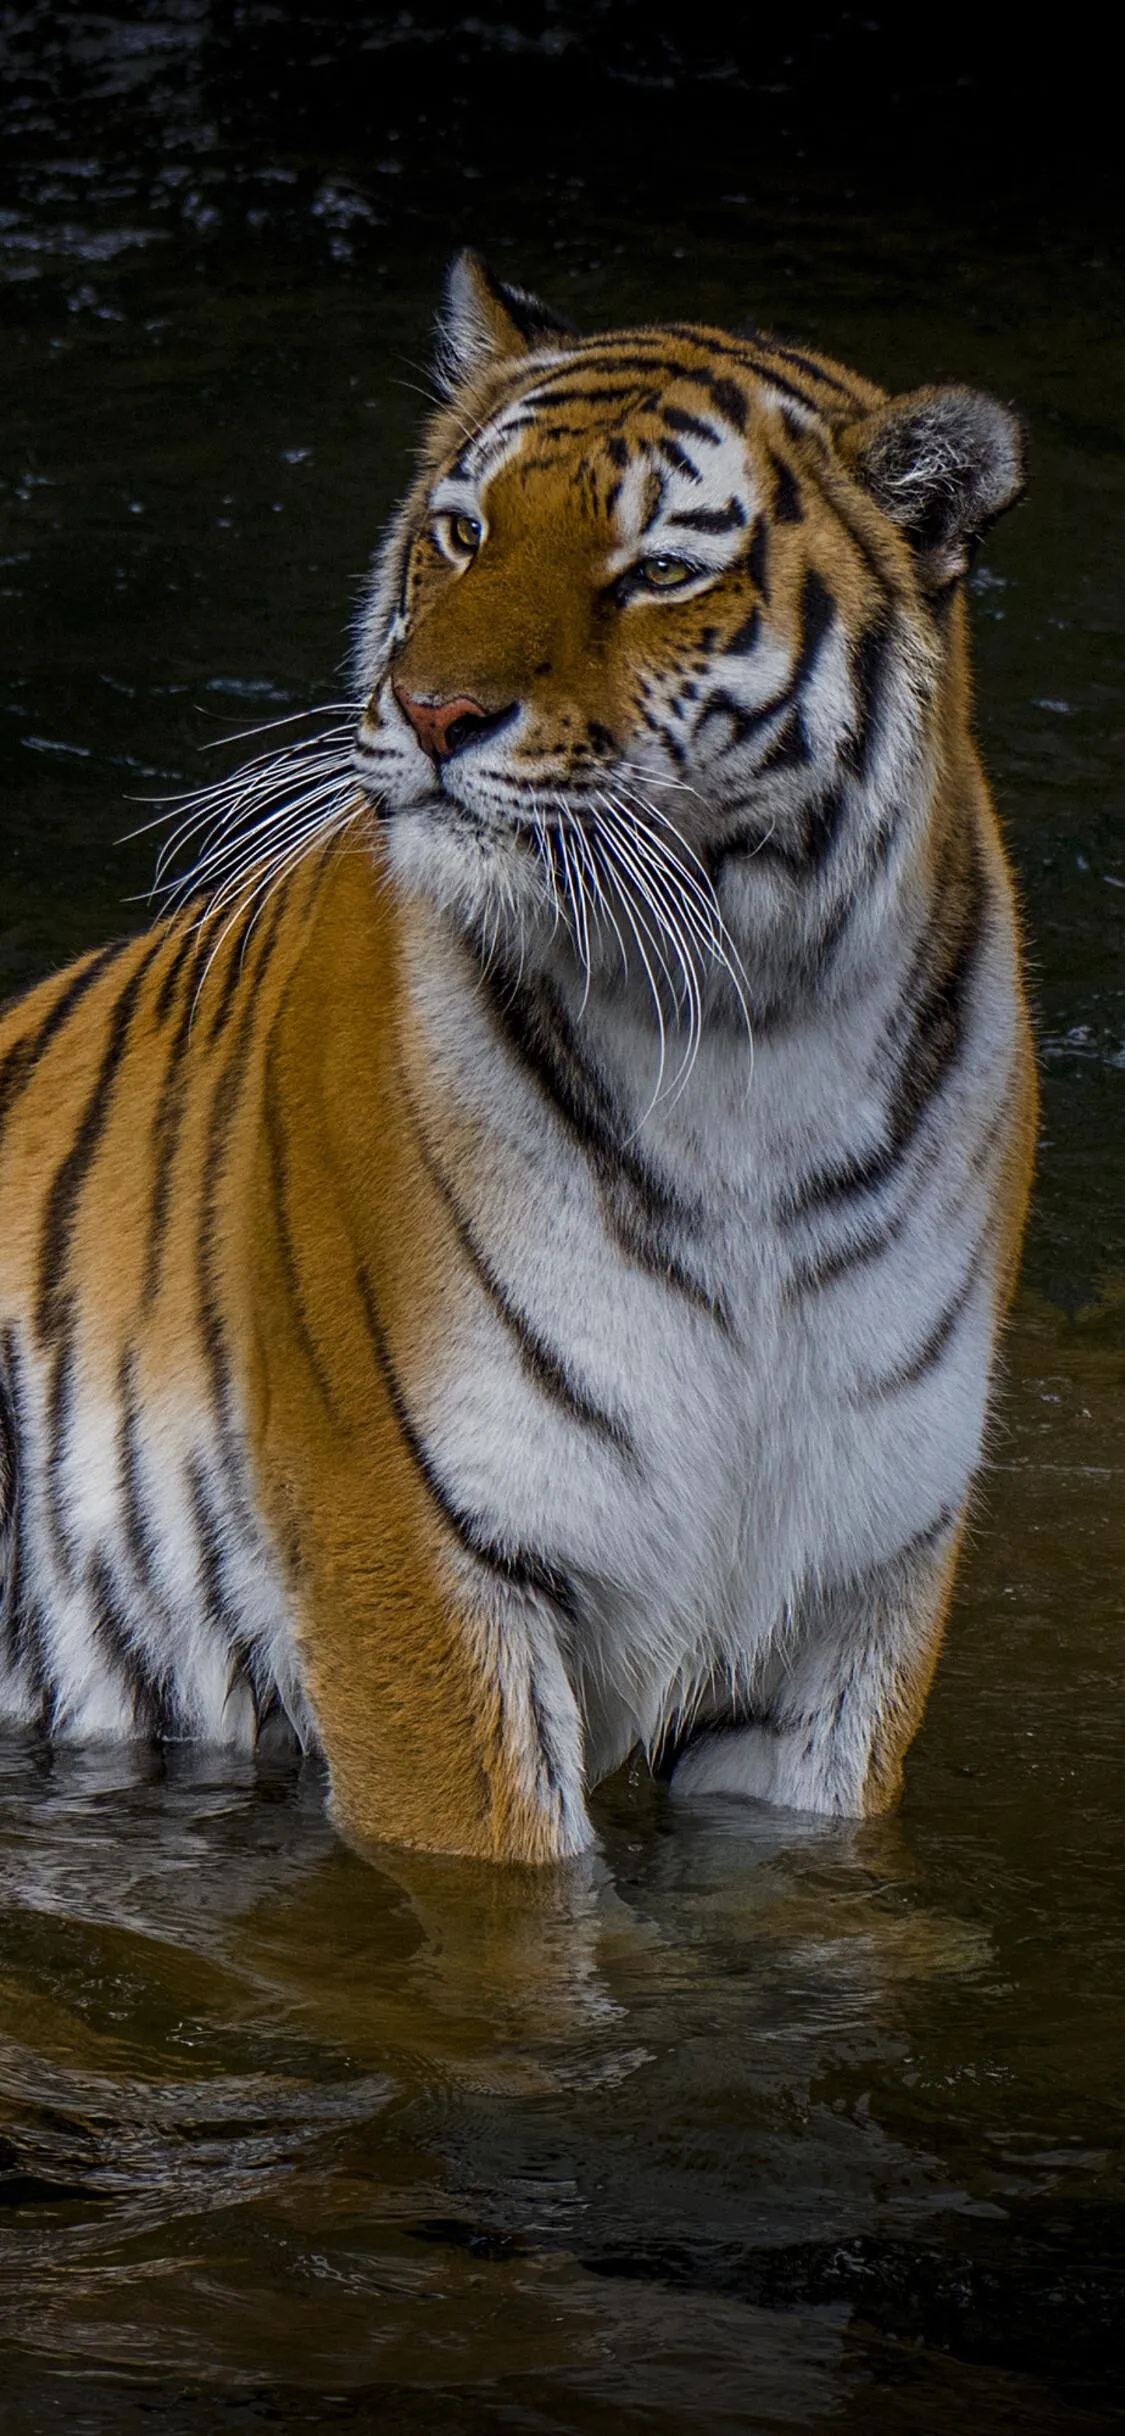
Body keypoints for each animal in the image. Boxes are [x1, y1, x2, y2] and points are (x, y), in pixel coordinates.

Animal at [0, 251, 1035, 1863]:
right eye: (463, 532)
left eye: (661, 572)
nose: (432, 714)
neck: (750, 1039)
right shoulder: (415, 1556)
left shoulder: (852, 1601)